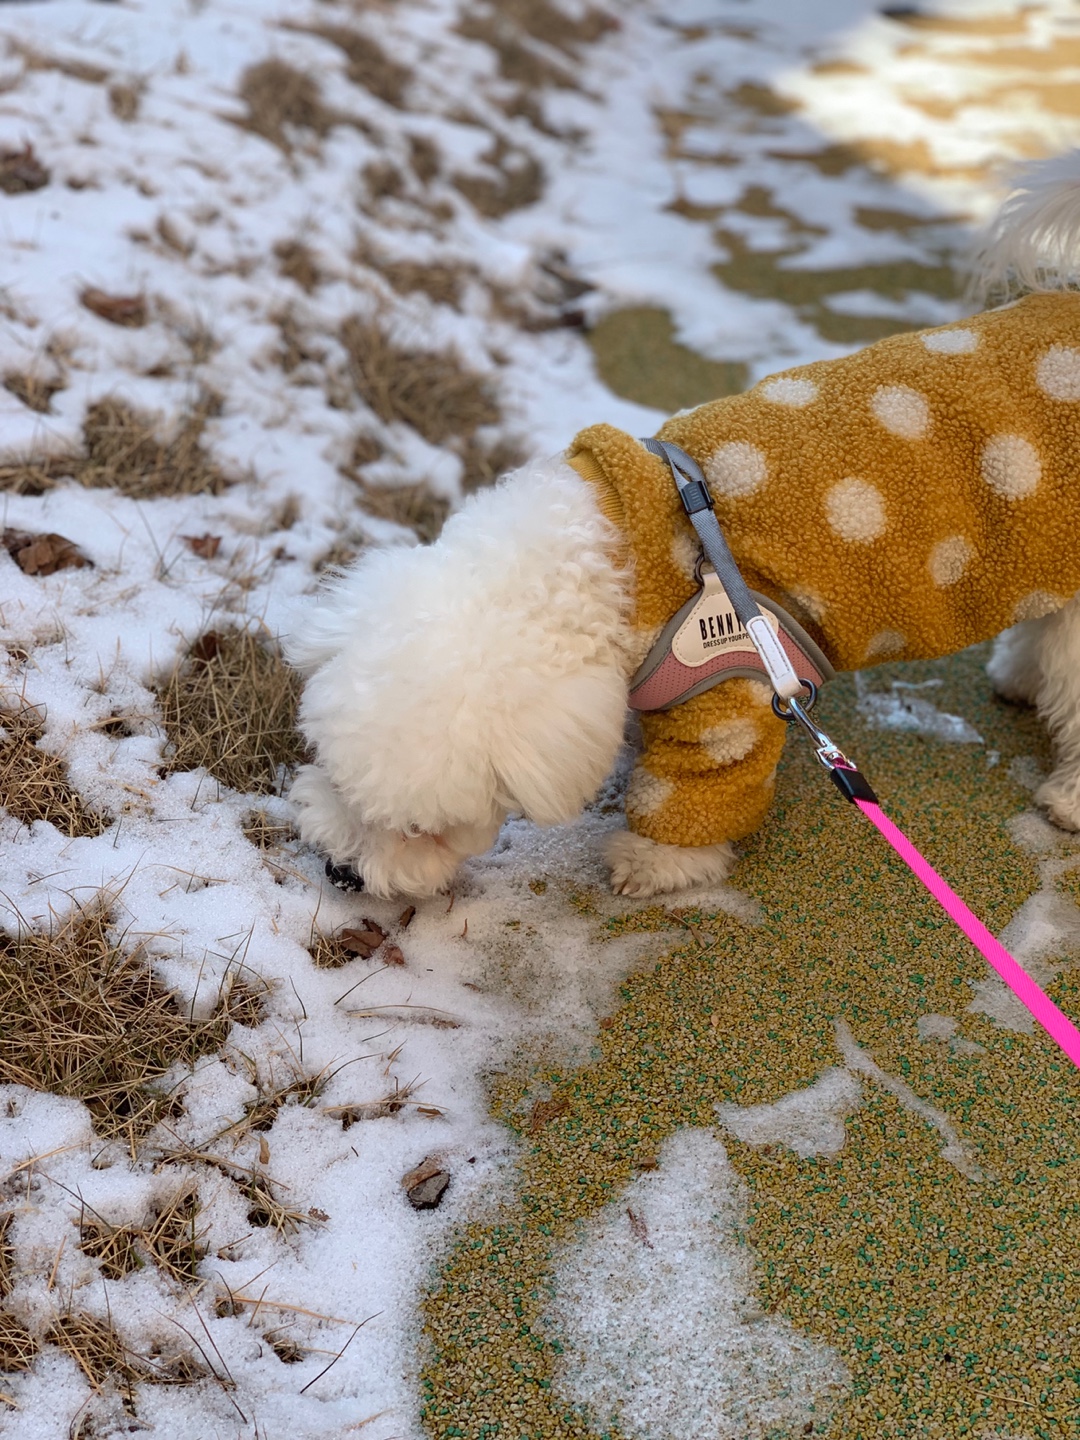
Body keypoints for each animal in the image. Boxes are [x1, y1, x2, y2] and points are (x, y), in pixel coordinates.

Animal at [289, 157, 1080, 898]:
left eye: (422, 828)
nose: (340, 874)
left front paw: (654, 862)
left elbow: (697, 789)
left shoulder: (734, 694)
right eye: (330, 773)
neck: (613, 554)